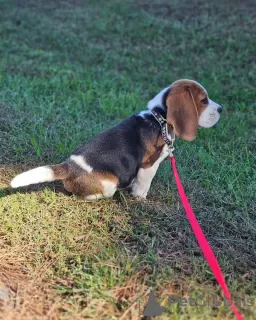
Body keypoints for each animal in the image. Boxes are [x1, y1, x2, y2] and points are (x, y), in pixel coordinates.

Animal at [11, 79, 221, 199]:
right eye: (203, 100)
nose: (220, 109)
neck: (158, 117)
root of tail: (69, 166)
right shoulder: (149, 165)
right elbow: (143, 184)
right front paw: (140, 198)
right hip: (109, 183)